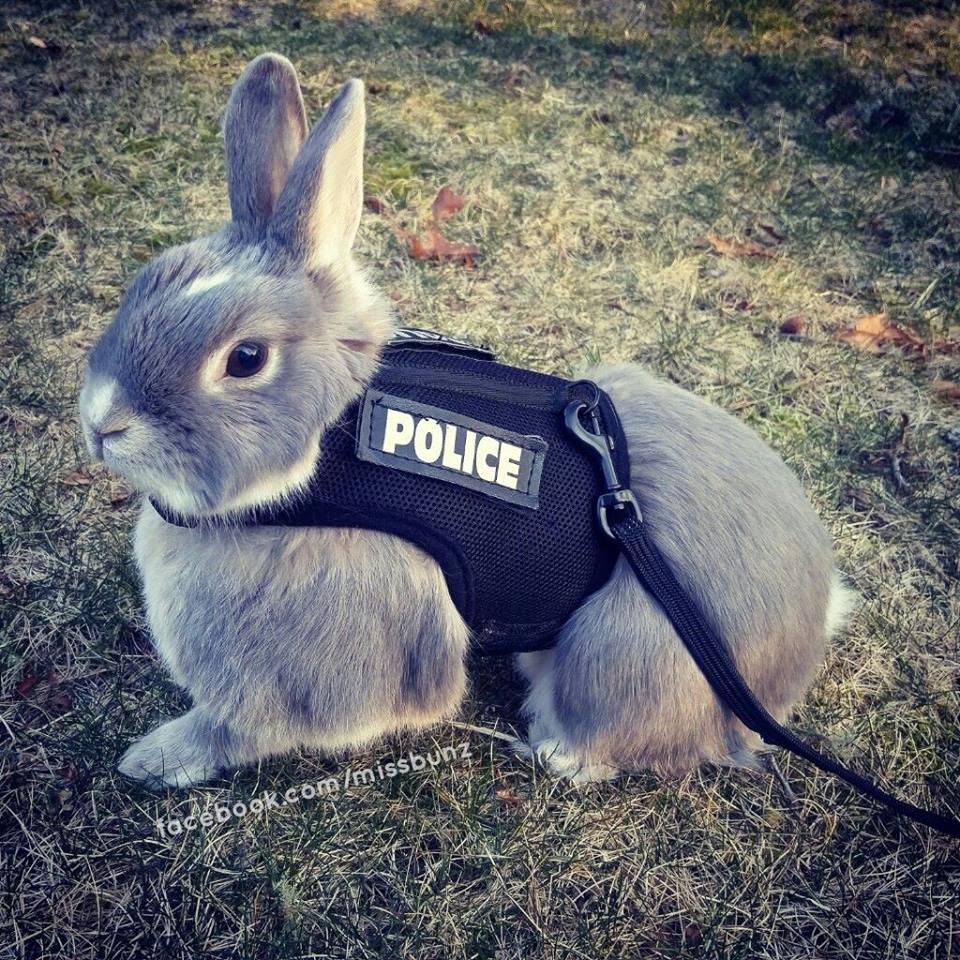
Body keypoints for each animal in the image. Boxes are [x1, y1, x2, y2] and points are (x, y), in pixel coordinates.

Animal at [79, 53, 855, 789]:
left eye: (245, 359)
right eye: (147, 280)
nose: (102, 421)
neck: (323, 454)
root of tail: (795, 652)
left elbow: (241, 728)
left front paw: (152, 759)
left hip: (623, 652)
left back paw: (553, 751)